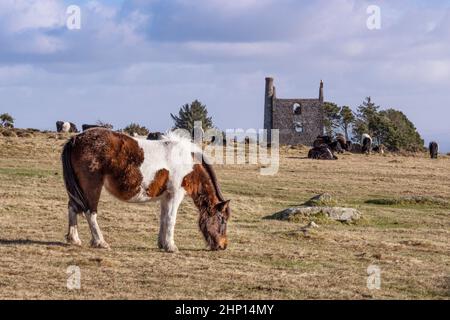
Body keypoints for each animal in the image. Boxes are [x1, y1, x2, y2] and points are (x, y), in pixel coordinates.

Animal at [62, 128, 232, 252]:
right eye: (222, 219)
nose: (223, 246)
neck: (186, 161)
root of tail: (76, 139)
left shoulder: (166, 196)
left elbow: (164, 219)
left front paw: (163, 244)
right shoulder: (176, 195)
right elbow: (171, 219)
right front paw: (171, 246)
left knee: (72, 207)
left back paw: (74, 239)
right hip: (92, 187)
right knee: (90, 213)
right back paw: (100, 241)